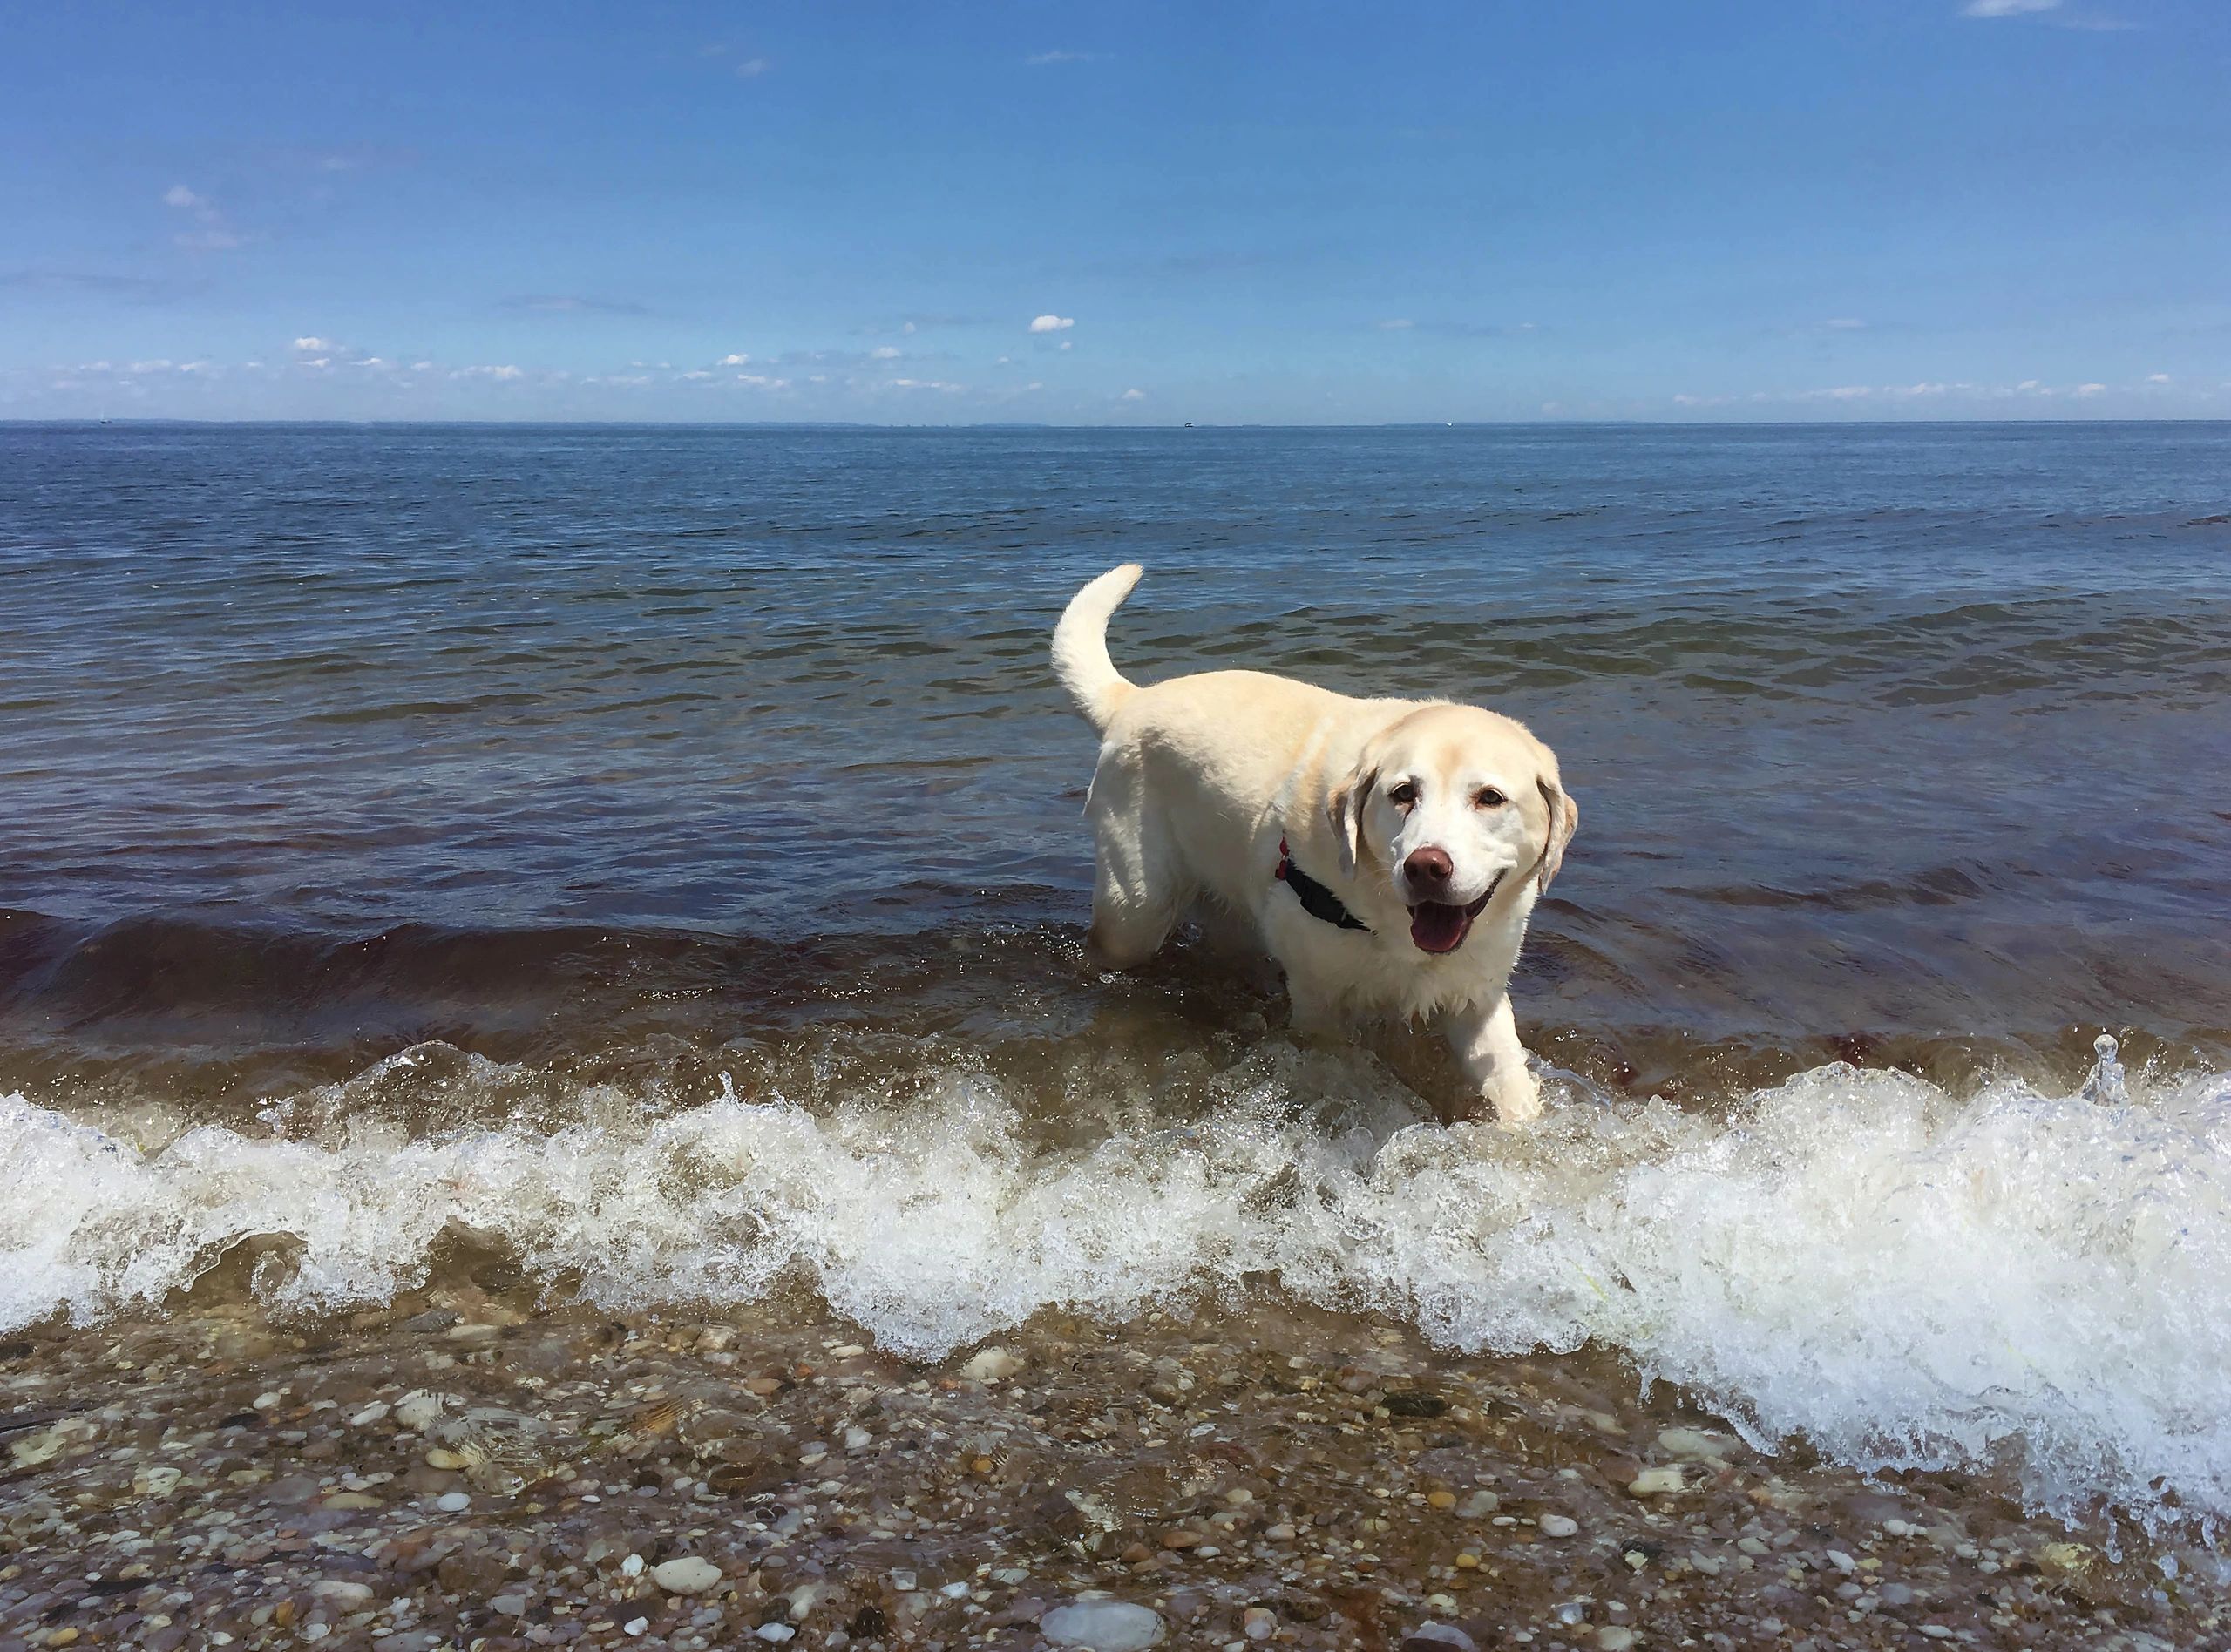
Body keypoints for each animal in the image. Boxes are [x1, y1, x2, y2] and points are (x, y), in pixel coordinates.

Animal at [1053, 564, 1579, 1119]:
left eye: (1490, 798)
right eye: (1403, 793)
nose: (1426, 866)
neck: (1392, 926)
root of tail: (1131, 698)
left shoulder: (1478, 997)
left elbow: (1511, 1086)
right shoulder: (1319, 1005)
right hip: (1135, 908)